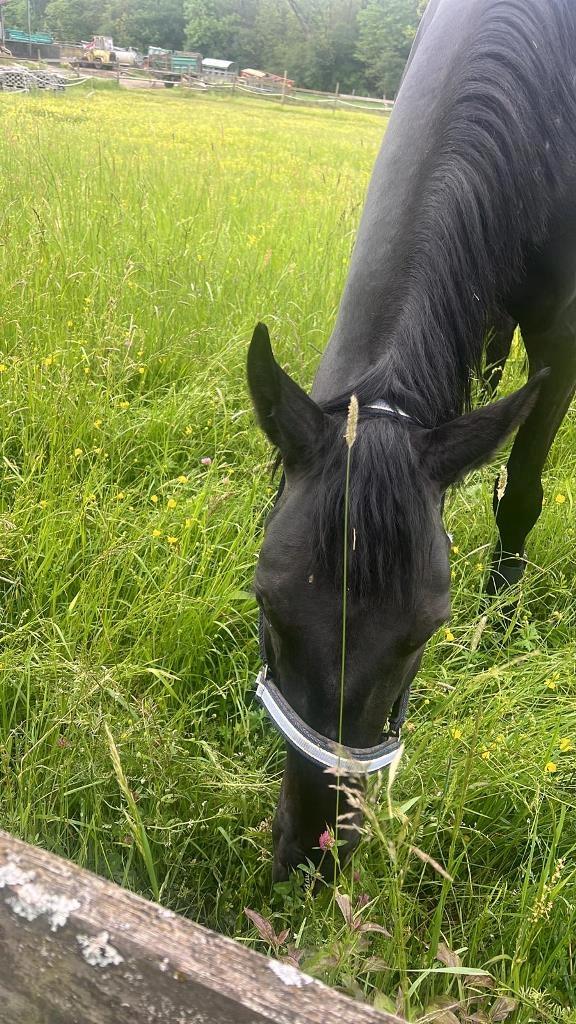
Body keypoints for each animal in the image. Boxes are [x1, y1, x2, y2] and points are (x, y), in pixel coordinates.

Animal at [247, 0, 576, 882]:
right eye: (267, 602)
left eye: (429, 627)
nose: (316, 851)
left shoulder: (566, 334)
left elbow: (521, 489)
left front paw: (502, 615)